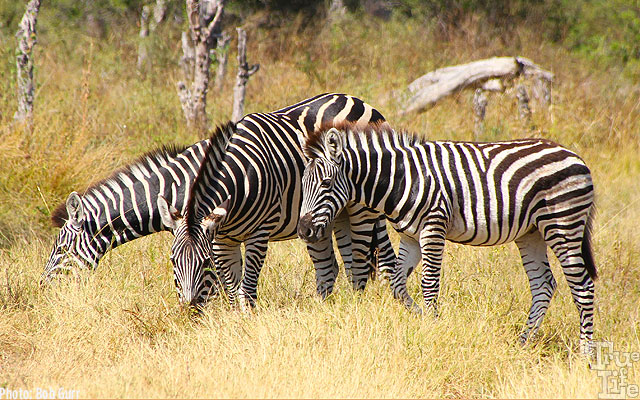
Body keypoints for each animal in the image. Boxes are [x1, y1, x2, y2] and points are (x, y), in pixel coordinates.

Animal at [158, 92, 398, 308]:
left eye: (206, 262)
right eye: (172, 260)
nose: (189, 307)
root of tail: (359, 101)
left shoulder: (260, 232)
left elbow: (247, 289)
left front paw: (248, 320)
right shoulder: (221, 240)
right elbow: (232, 290)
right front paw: (235, 320)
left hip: (362, 210)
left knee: (363, 264)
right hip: (335, 214)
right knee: (341, 265)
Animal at [298, 123, 596, 354]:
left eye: (326, 184)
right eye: (302, 184)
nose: (303, 231)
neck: (400, 179)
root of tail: (576, 157)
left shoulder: (433, 226)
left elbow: (429, 284)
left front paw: (432, 326)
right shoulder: (410, 236)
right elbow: (396, 284)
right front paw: (422, 317)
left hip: (562, 223)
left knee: (582, 286)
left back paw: (586, 354)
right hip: (530, 232)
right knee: (544, 284)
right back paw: (523, 343)